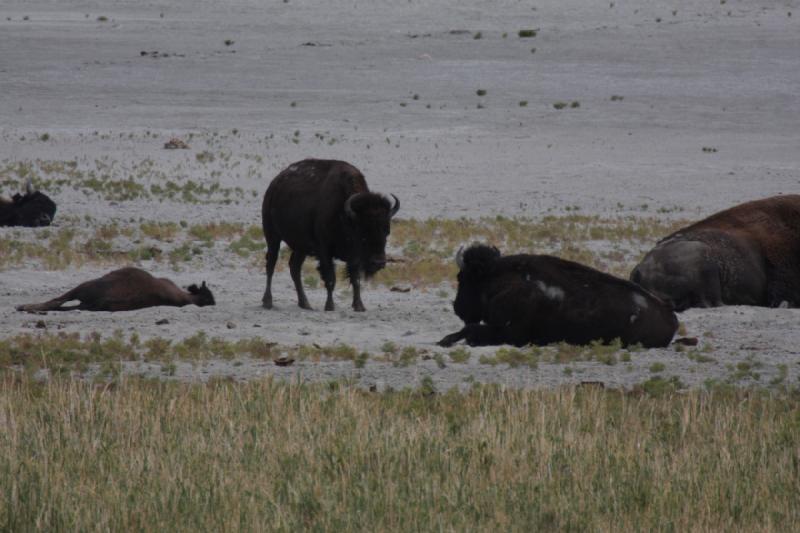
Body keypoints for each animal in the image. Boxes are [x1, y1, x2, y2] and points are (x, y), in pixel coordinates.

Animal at [262, 157, 400, 312]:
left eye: (386, 231)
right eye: (363, 233)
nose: (378, 262)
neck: (346, 216)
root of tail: (274, 185)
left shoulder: (354, 257)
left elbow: (355, 279)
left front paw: (359, 306)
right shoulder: (324, 251)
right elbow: (330, 279)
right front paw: (330, 306)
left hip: (301, 247)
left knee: (294, 268)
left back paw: (305, 303)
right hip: (272, 236)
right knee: (271, 265)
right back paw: (268, 302)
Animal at [438, 245, 676, 350]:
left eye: (461, 277)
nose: (458, 308)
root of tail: (672, 318)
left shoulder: (509, 332)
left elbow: (471, 330)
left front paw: (445, 340)